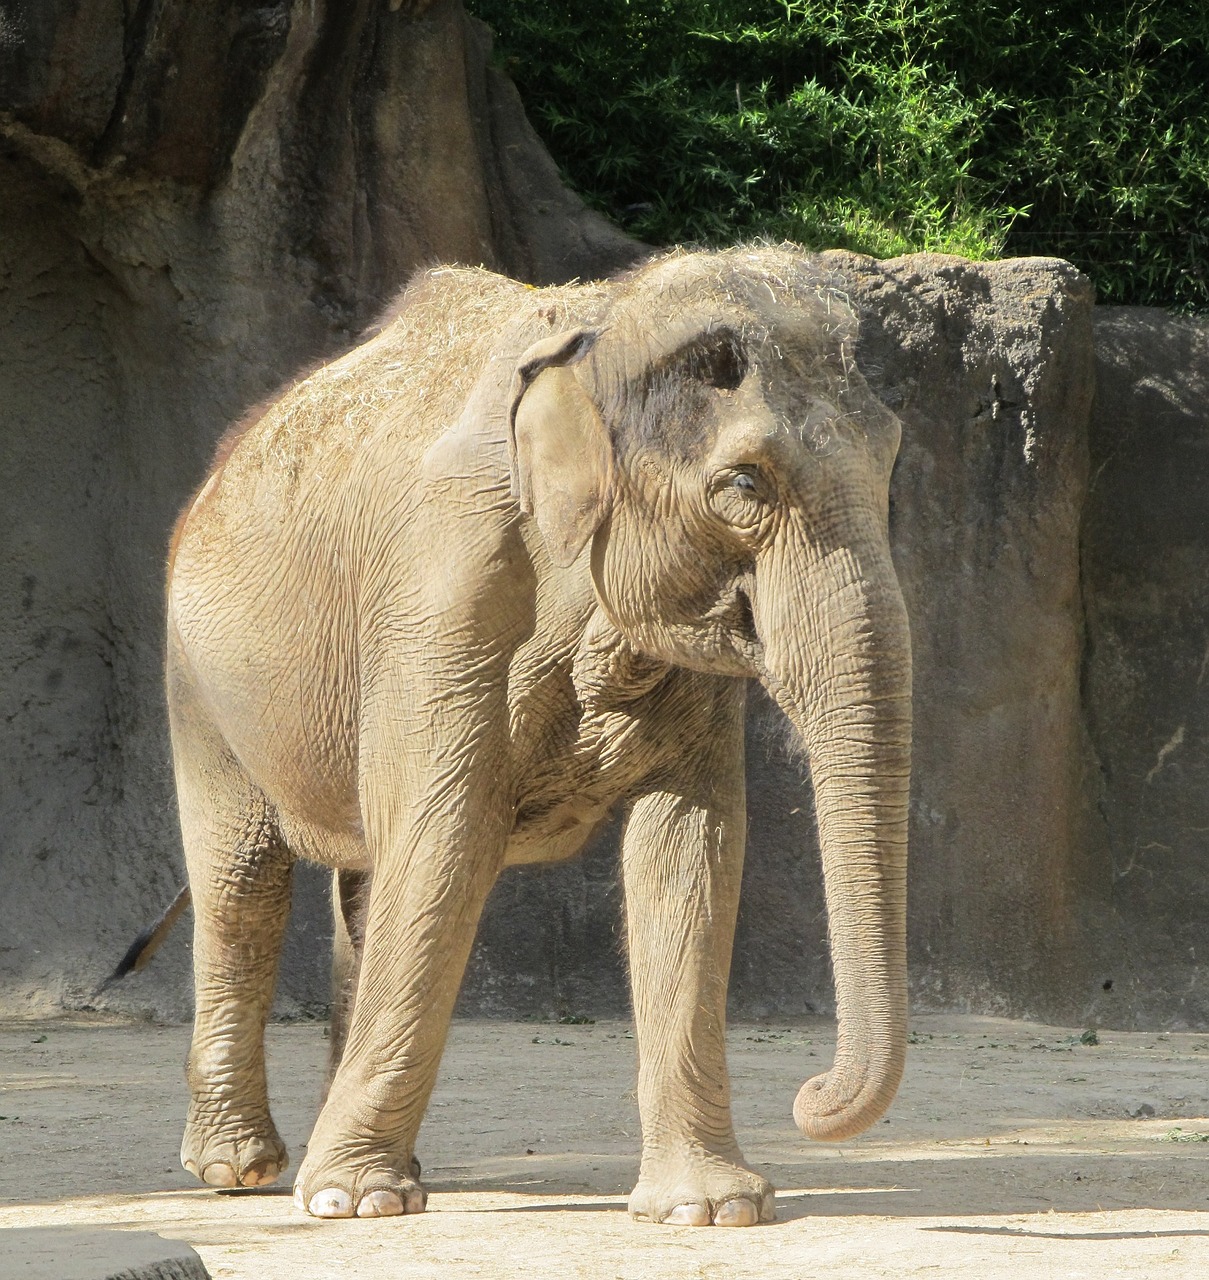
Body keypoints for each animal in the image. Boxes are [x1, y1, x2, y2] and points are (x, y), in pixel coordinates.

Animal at [165, 244, 910, 1223]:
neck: (601, 330)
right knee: (243, 883)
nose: (810, 1096)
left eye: (891, 458)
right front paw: (353, 1205)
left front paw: (707, 1211)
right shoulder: (441, 593)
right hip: (199, 682)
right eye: (745, 483)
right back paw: (242, 1171)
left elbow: (690, 849)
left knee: (361, 887)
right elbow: (447, 841)